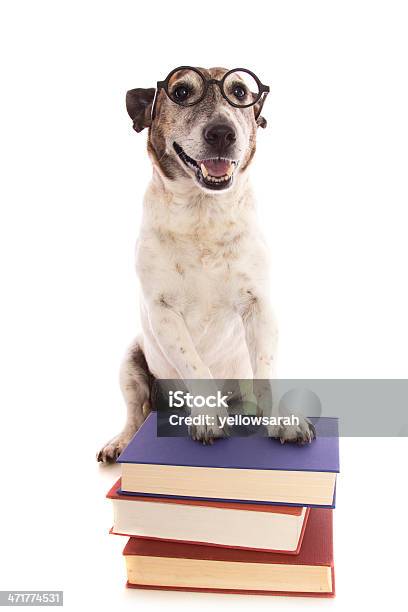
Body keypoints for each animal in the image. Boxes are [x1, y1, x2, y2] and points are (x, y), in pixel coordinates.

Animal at [96, 65, 316, 464]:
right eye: (181, 92)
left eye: (240, 91)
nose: (222, 133)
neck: (203, 215)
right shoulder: (163, 313)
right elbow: (194, 365)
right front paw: (210, 417)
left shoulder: (259, 307)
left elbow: (266, 370)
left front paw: (281, 421)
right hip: (131, 363)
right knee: (135, 414)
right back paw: (120, 442)